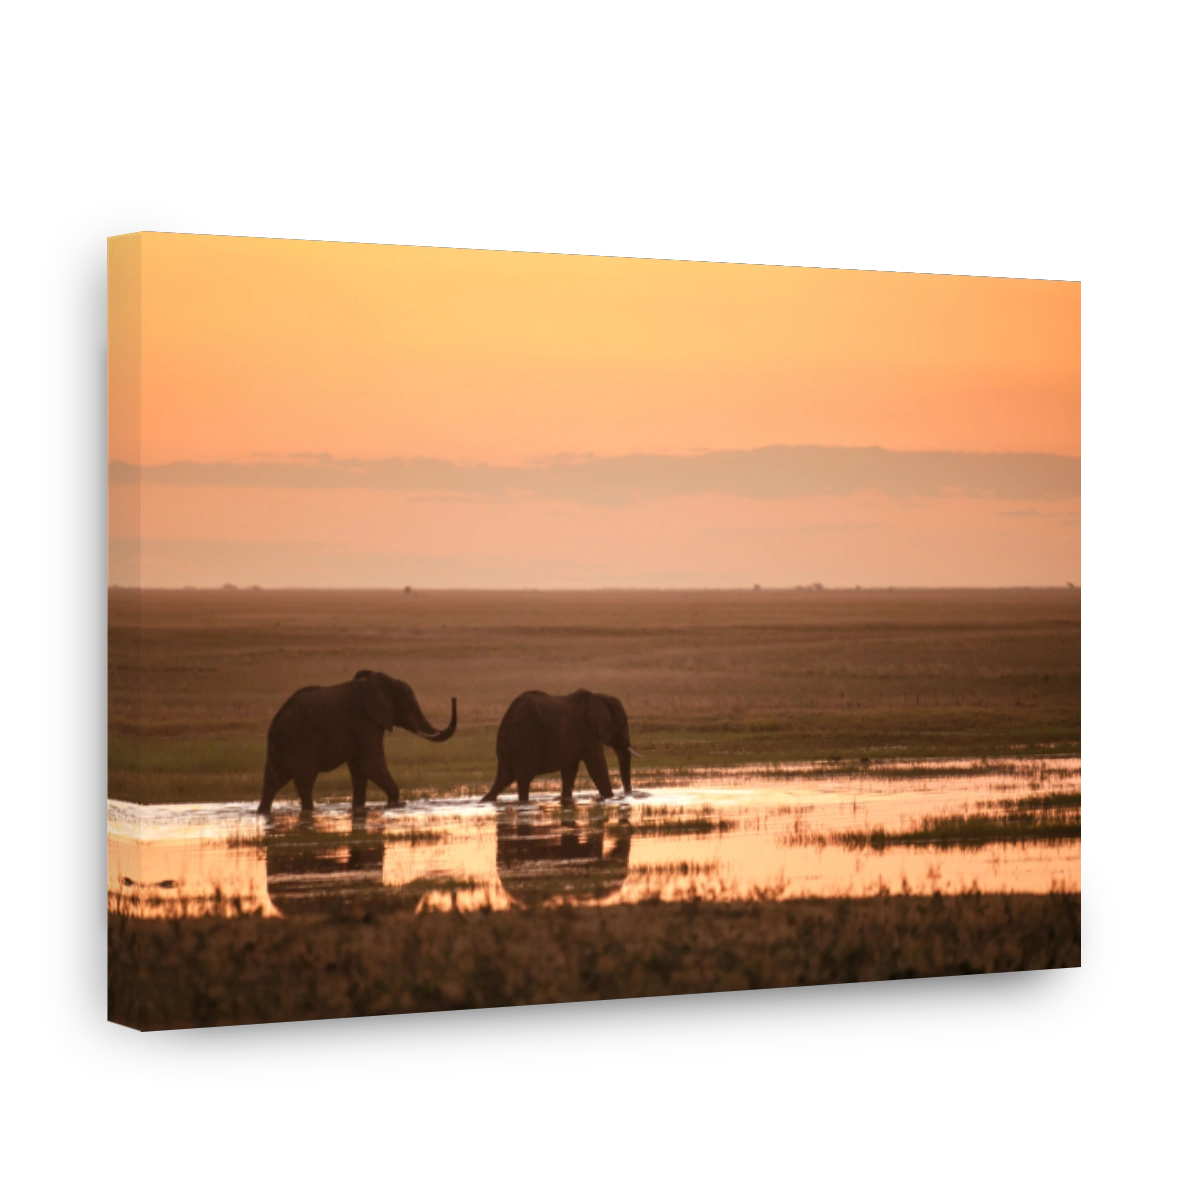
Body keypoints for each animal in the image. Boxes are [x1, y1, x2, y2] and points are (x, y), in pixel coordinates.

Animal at [257, 669, 457, 815]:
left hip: (280, 746)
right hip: (298, 743)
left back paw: (263, 813)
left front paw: (359, 809)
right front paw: (395, 805)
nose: (454, 698)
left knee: (272, 782)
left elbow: (359, 769)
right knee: (305, 782)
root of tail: (274, 725)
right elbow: (371, 765)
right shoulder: (366, 721)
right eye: (409, 705)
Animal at [479, 689, 642, 805]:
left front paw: (566, 801)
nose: (628, 794)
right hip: (526, 739)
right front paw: (610, 798)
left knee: (504, 778)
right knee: (523, 779)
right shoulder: (588, 733)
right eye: (623, 723)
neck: (599, 697)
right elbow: (597, 766)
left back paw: (486, 801)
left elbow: (570, 770)